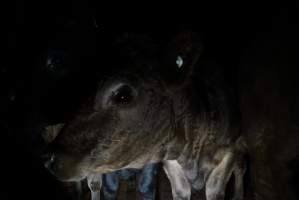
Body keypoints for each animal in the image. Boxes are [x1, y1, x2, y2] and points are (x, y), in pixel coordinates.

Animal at [43, 32, 247, 199]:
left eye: (123, 95)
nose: (48, 157)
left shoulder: (229, 153)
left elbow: (215, 191)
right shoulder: (171, 163)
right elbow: (180, 192)